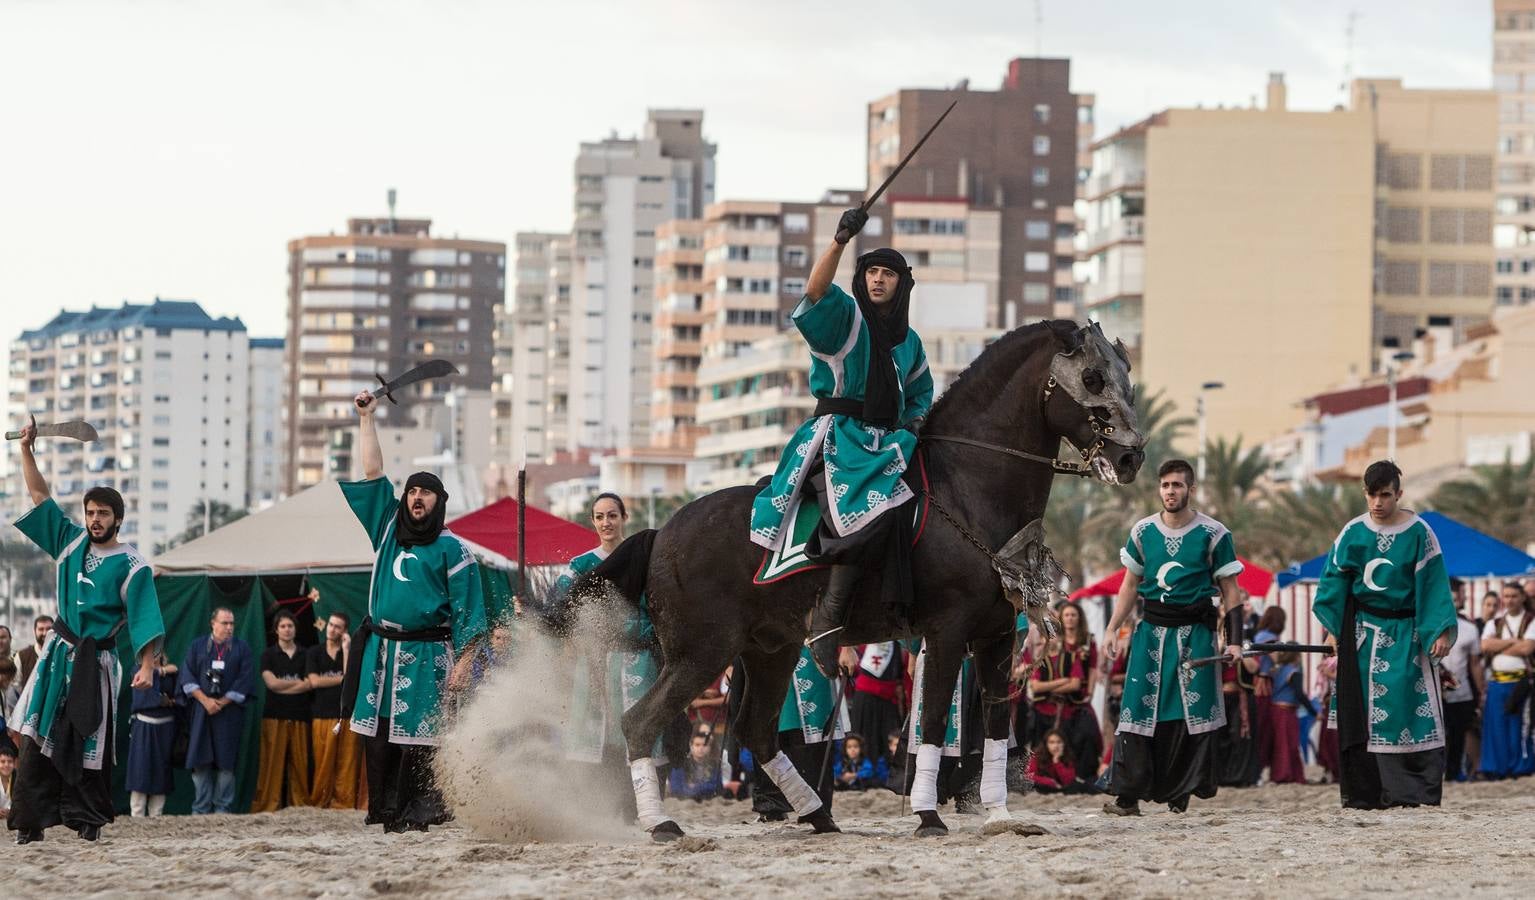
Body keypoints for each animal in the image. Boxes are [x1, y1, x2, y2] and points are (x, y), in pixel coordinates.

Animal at [577, 319, 1142, 835]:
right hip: (701, 653)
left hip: (769, 649)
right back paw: (661, 823)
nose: (1131, 456)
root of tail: (662, 533)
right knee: (640, 723)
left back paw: (818, 814)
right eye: (1092, 378)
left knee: (756, 731)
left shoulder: (997, 634)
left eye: (1127, 376)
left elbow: (997, 723)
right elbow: (932, 720)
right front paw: (927, 814)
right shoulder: (946, 632)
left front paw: (1001, 814)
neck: (967, 492)